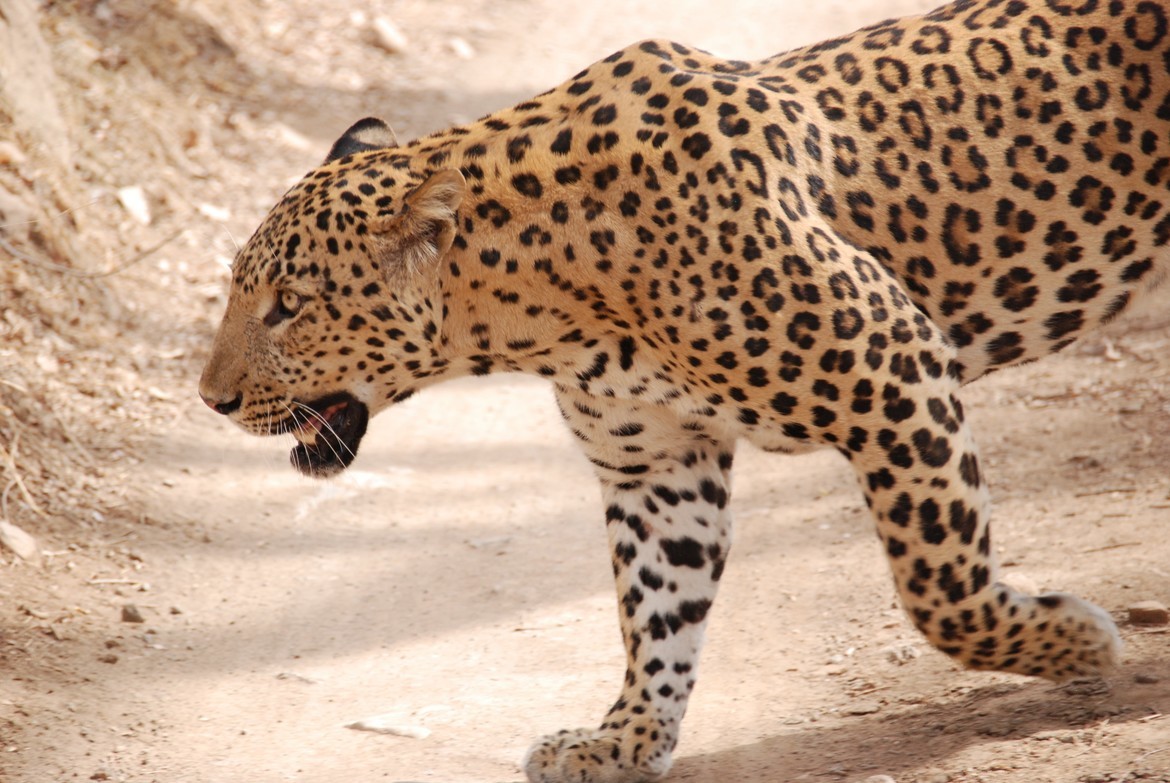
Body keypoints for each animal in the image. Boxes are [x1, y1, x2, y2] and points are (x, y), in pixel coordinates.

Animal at [198, 0, 1170, 780]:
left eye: (287, 307)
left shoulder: (893, 369)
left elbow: (940, 588)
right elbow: (658, 609)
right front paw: (623, 740)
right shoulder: (656, 464)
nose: (210, 399)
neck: (537, 300)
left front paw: (1080, 640)